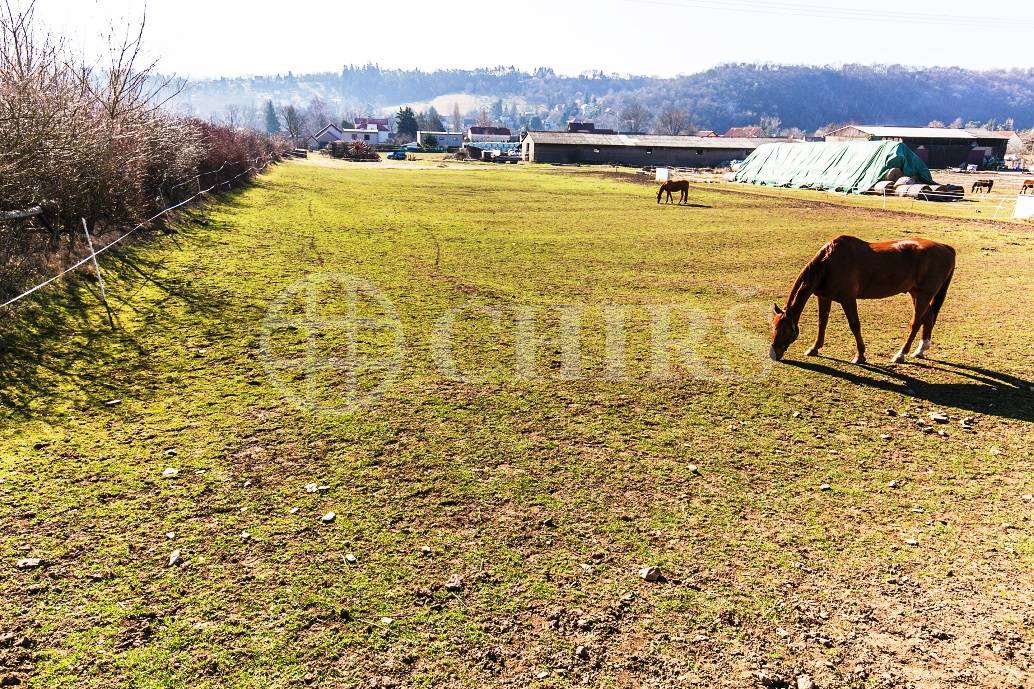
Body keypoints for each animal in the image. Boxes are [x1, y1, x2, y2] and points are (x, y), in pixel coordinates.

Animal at [773, 234, 955, 364]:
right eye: (773, 328)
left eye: (785, 331)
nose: (773, 354)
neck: (829, 263)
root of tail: (946, 248)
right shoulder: (824, 297)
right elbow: (822, 323)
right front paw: (814, 348)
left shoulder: (848, 299)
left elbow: (854, 325)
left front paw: (859, 355)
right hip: (916, 293)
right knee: (928, 317)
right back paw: (920, 350)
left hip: (924, 295)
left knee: (916, 323)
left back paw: (901, 354)